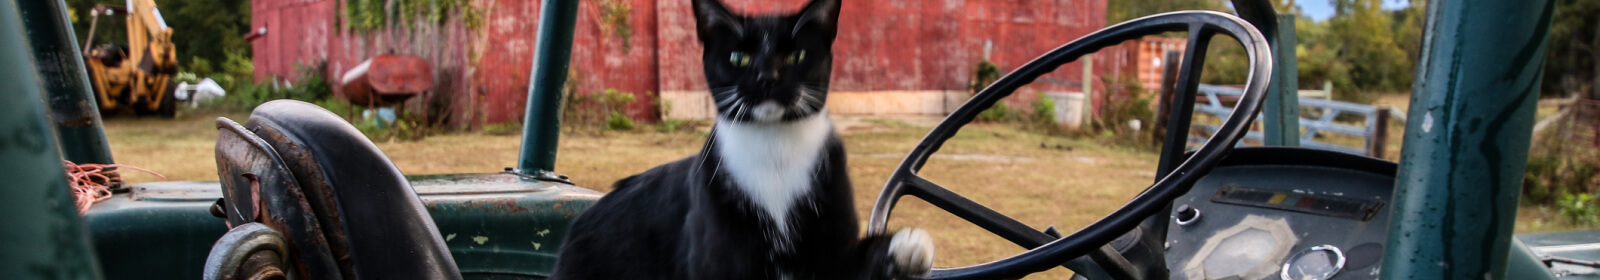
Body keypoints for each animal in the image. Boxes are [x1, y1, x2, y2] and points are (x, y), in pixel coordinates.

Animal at [547, 0, 934, 278]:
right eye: (739, 57)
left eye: (796, 54)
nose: (767, 77)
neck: (775, 148)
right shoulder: (716, 253)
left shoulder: (831, 242)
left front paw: (906, 247)